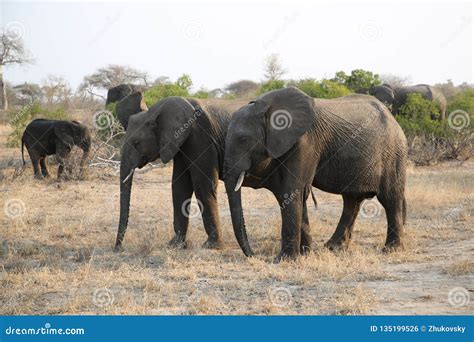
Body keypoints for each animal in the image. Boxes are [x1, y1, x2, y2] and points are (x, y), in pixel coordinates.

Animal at [115, 93, 248, 251]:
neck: (154, 112)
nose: (118, 248)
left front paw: (211, 246)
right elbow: (180, 185)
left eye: (136, 142)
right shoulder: (179, 142)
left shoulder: (201, 137)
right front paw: (175, 244)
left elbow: (203, 185)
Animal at [223, 87, 408, 260]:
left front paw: (284, 260)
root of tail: (394, 120)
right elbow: (292, 192)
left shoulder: (306, 142)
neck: (264, 107)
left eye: (243, 140)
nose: (253, 255)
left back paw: (391, 250)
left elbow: (291, 190)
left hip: (393, 153)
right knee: (352, 201)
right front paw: (305, 254)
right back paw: (333, 247)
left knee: (390, 199)